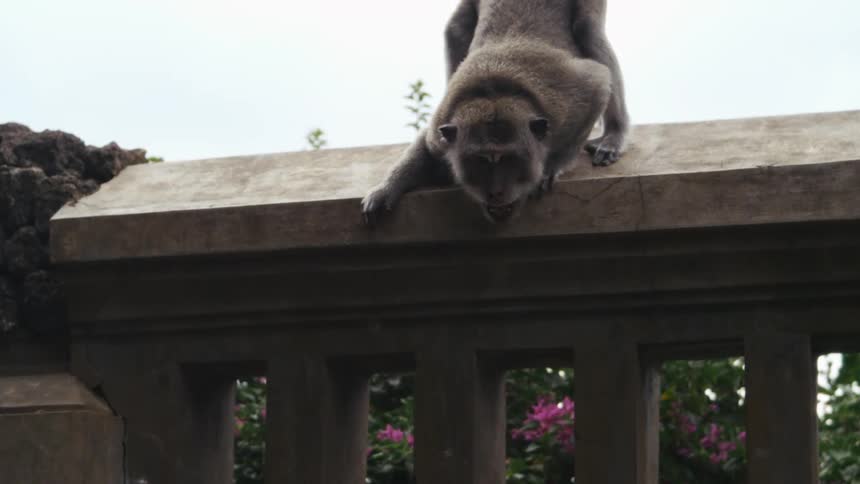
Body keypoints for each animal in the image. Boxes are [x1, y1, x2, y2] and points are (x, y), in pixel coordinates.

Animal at [362, 0, 630, 224]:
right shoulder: (442, 127)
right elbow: (426, 145)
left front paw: (551, 166)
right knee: (455, 29)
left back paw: (614, 135)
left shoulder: (566, 104)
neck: (493, 92)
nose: (495, 192)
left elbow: (598, 80)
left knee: (588, 31)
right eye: (481, 160)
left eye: (508, 159)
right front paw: (386, 189)